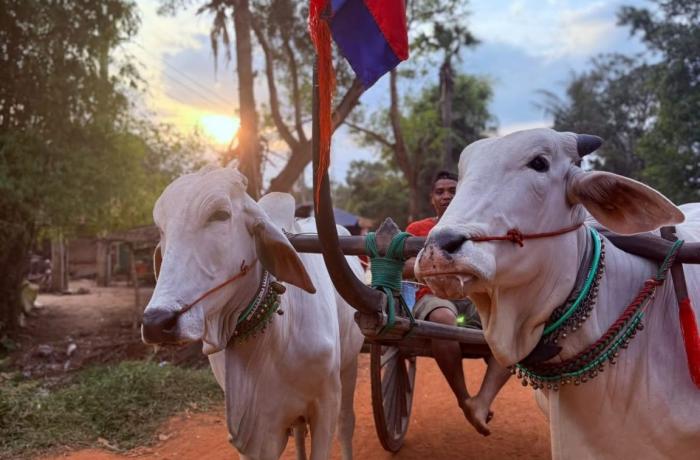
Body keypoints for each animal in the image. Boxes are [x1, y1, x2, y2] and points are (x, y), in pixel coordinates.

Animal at [141, 165, 364, 460]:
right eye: (161, 229)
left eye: (220, 215)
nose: (156, 322)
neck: (274, 340)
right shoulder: (259, 427)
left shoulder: (326, 402)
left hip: (349, 367)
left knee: (346, 424)